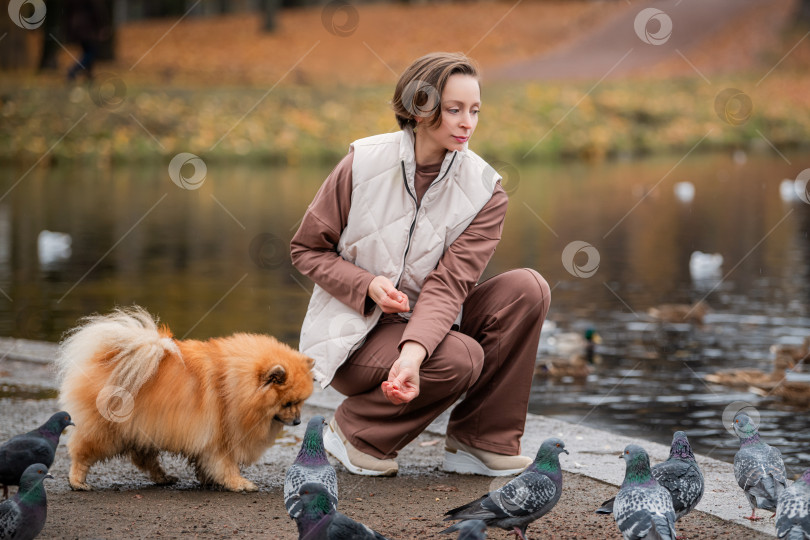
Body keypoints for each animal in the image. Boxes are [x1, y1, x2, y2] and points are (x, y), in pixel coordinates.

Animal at [54, 306, 312, 492]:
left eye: (300, 403)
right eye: (288, 403)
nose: (298, 421)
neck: (235, 384)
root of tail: (106, 357)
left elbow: (207, 463)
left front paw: (209, 480)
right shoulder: (222, 437)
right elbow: (226, 465)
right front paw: (239, 483)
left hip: (144, 427)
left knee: (144, 458)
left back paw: (164, 477)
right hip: (106, 429)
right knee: (82, 451)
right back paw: (77, 481)